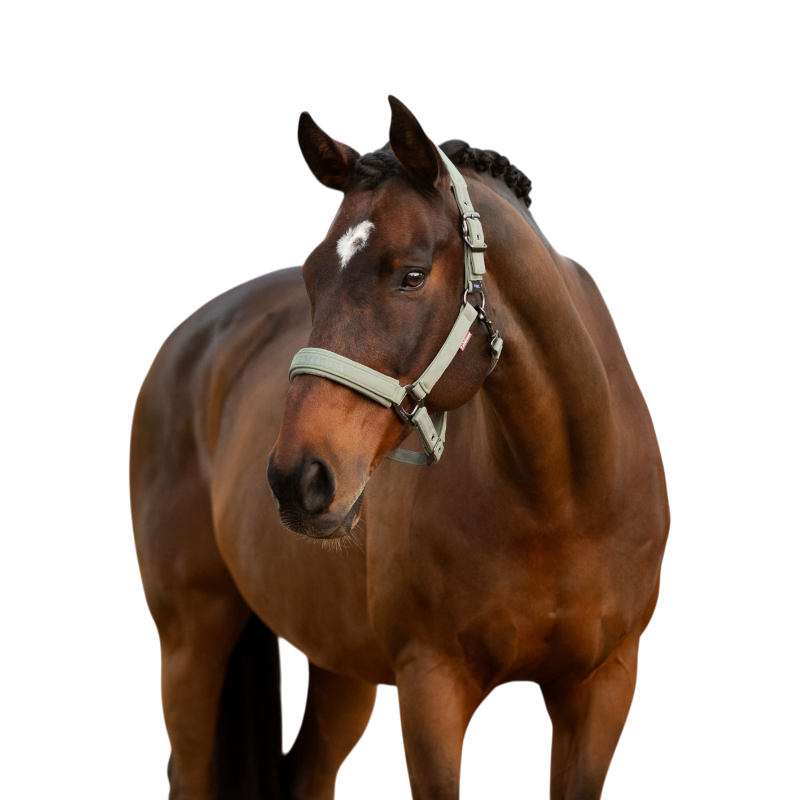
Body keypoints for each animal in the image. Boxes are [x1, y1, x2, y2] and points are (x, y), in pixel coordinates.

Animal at [130, 97, 669, 799]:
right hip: (191, 638)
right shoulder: (430, 687)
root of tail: (190, 341)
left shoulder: (601, 689)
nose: (297, 479)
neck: (562, 498)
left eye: (411, 275)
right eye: (311, 275)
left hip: (337, 662)